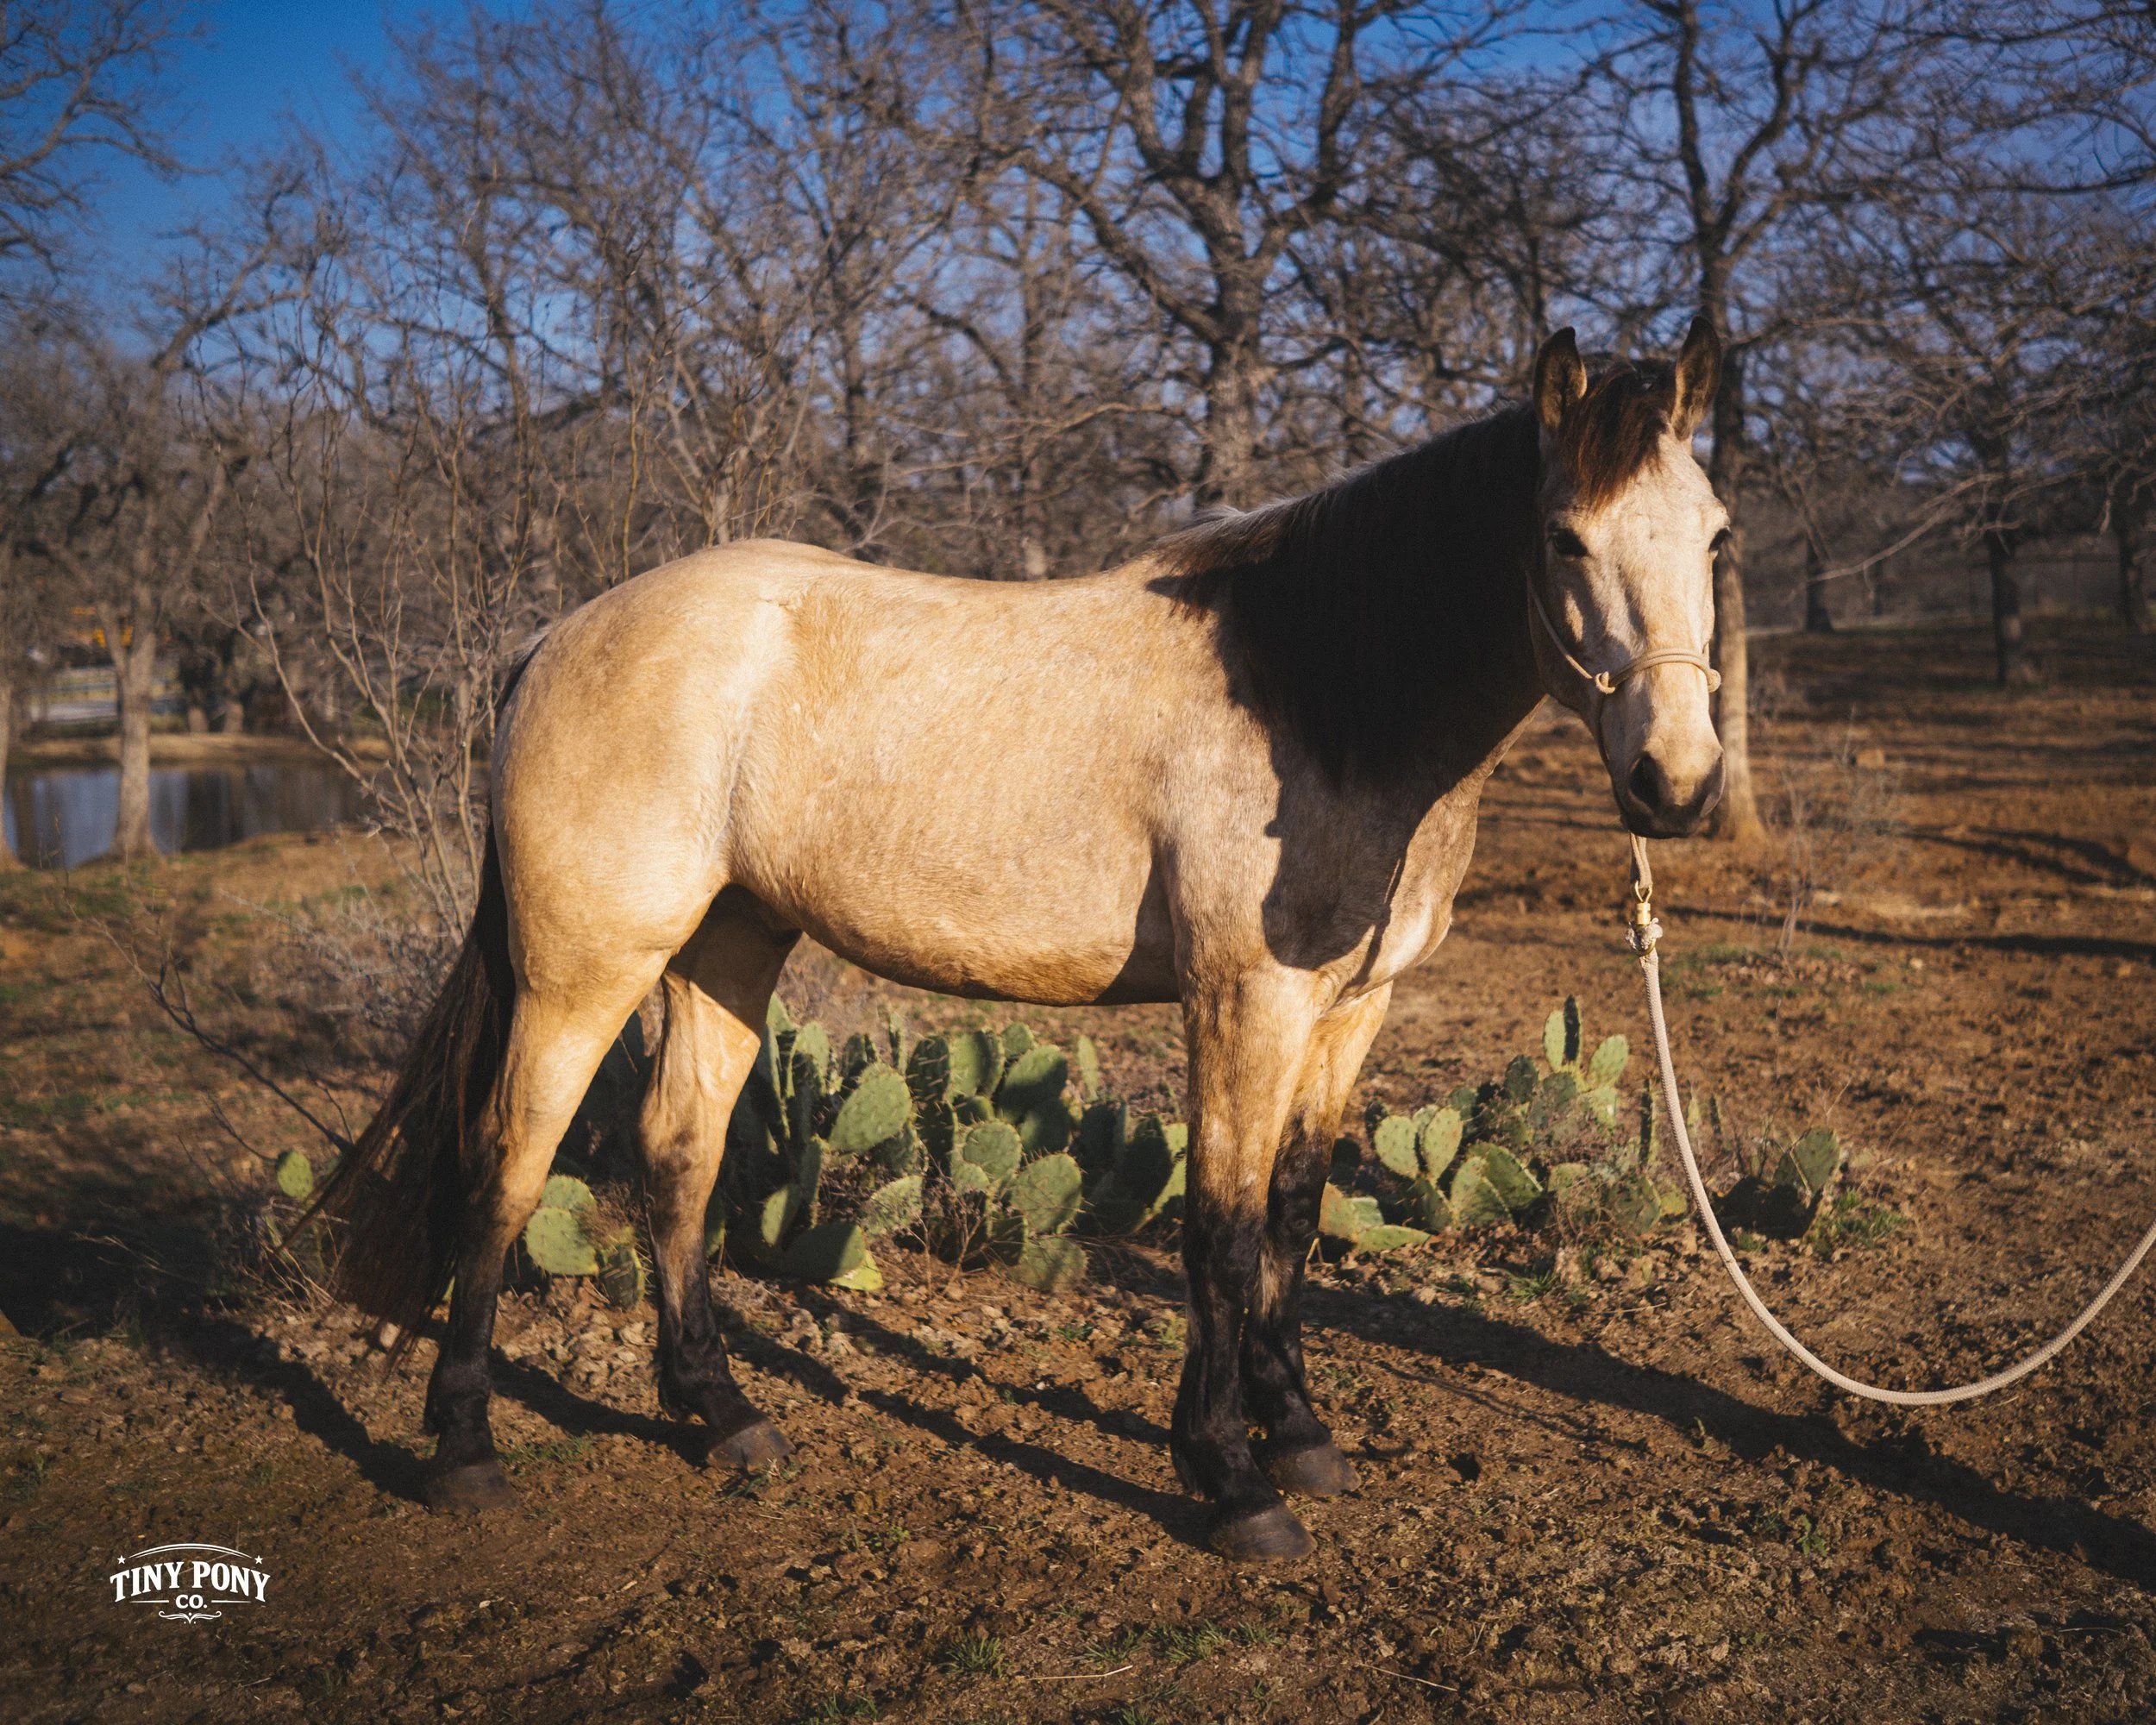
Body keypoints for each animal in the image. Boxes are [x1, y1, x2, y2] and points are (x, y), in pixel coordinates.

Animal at [320, 317, 1729, 1561]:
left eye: (1715, 535)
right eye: (1562, 535)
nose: (1676, 784)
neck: (1320, 693)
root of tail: (553, 640)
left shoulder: (1349, 1008)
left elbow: (1292, 1211)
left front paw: (1300, 1435)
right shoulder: (1244, 1001)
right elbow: (1220, 1231)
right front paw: (1229, 1478)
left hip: (727, 946)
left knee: (677, 1159)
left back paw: (721, 1417)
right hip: (584, 971)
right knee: (507, 1170)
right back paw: (464, 1454)